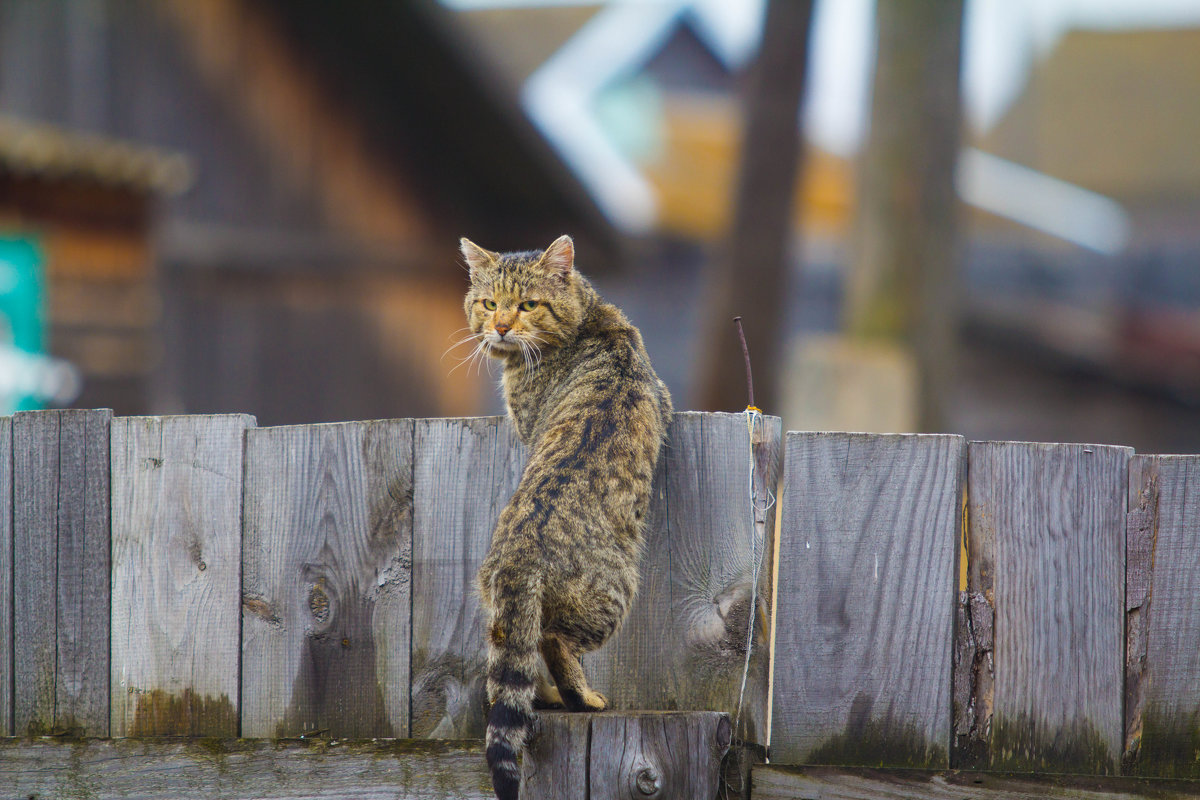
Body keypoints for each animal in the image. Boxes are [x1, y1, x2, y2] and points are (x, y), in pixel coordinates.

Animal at [458, 235, 672, 800]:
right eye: (489, 303)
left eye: (527, 304)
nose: (500, 327)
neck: (592, 322)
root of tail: (518, 556)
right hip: (608, 594)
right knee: (551, 645)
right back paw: (577, 696)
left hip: (531, 611)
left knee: (523, 661)